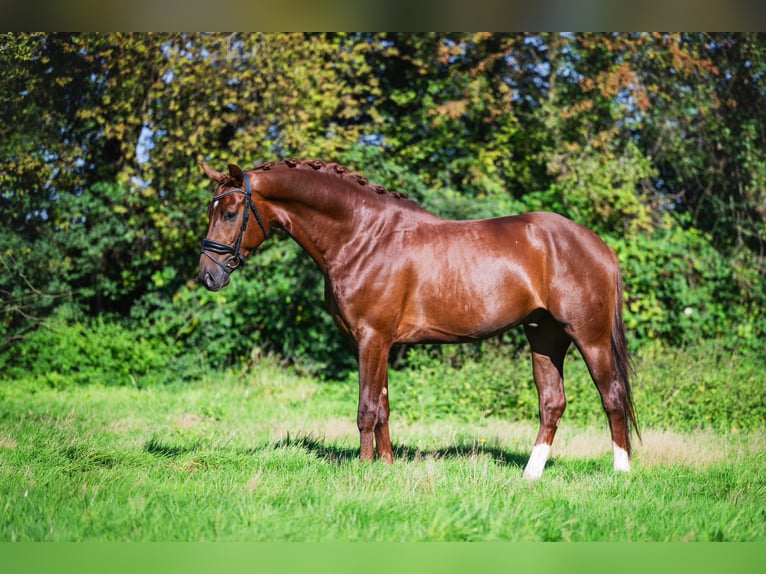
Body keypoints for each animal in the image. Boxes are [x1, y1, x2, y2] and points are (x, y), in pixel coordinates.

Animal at [198, 159, 639, 478]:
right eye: (211, 209)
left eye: (231, 211)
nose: (207, 275)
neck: (363, 236)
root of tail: (598, 245)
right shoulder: (375, 342)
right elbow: (382, 406)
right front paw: (386, 465)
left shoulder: (372, 337)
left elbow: (366, 408)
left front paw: (363, 470)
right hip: (544, 337)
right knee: (552, 403)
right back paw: (531, 475)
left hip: (589, 337)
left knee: (612, 397)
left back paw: (620, 471)